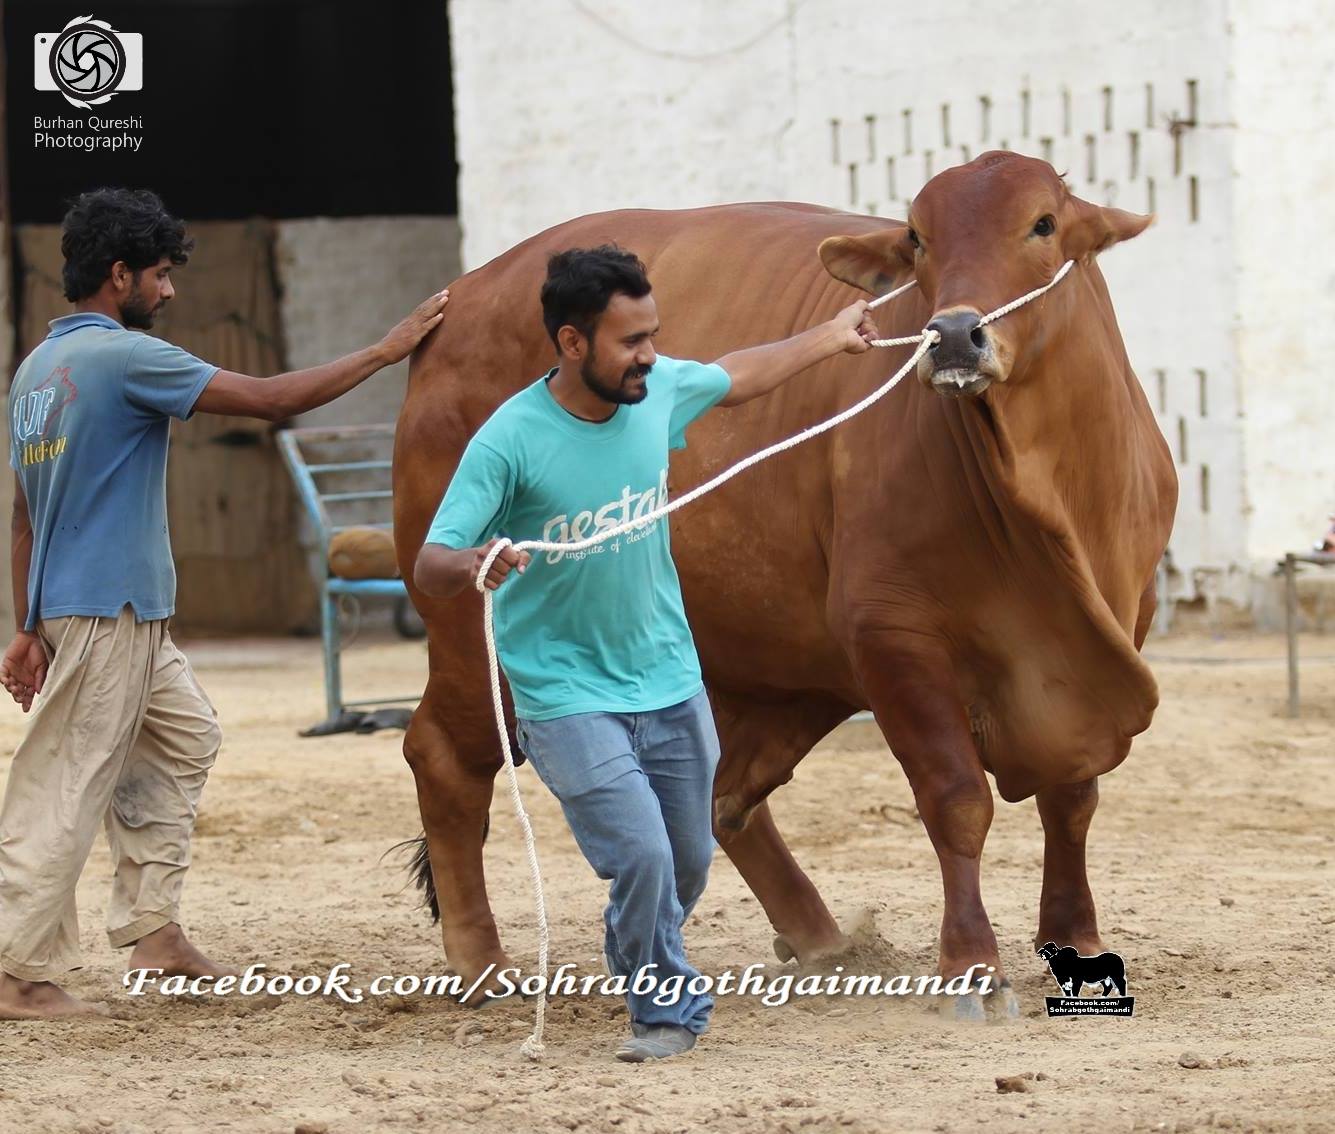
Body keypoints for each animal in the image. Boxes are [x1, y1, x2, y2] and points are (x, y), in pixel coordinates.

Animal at [392, 150, 1180, 1009]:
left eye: (1042, 223)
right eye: (917, 236)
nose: (951, 335)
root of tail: (462, 300)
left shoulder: (1119, 624)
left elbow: (1072, 795)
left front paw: (1074, 934)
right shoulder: (891, 635)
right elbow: (955, 798)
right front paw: (969, 962)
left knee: (716, 794)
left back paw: (818, 936)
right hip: (470, 632)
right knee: (444, 757)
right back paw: (479, 959)